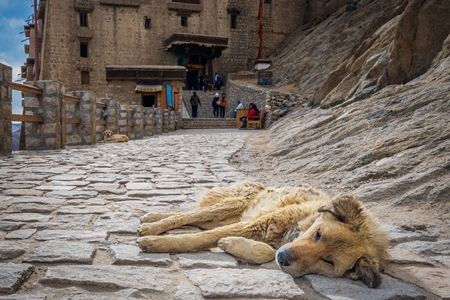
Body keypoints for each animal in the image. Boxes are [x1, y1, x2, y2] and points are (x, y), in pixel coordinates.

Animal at [138, 180, 390, 288]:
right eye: (318, 234)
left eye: (328, 261)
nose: (284, 258)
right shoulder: (259, 223)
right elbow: (199, 238)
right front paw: (155, 243)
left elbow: (265, 252)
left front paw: (231, 243)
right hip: (230, 205)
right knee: (186, 216)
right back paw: (151, 226)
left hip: (225, 215)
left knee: (194, 218)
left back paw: (151, 218)